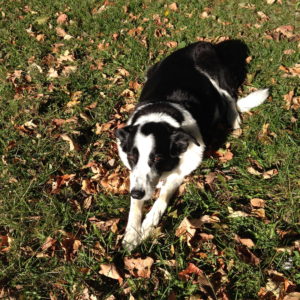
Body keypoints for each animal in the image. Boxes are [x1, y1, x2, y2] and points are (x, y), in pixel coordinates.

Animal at [116, 40, 268, 251]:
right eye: (131, 156)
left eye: (158, 157)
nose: (138, 193)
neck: (162, 111)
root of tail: (197, 44)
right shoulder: (135, 176)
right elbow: (134, 206)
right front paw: (131, 234)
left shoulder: (181, 171)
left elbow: (162, 199)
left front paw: (147, 226)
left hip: (214, 71)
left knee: (230, 97)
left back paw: (233, 118)